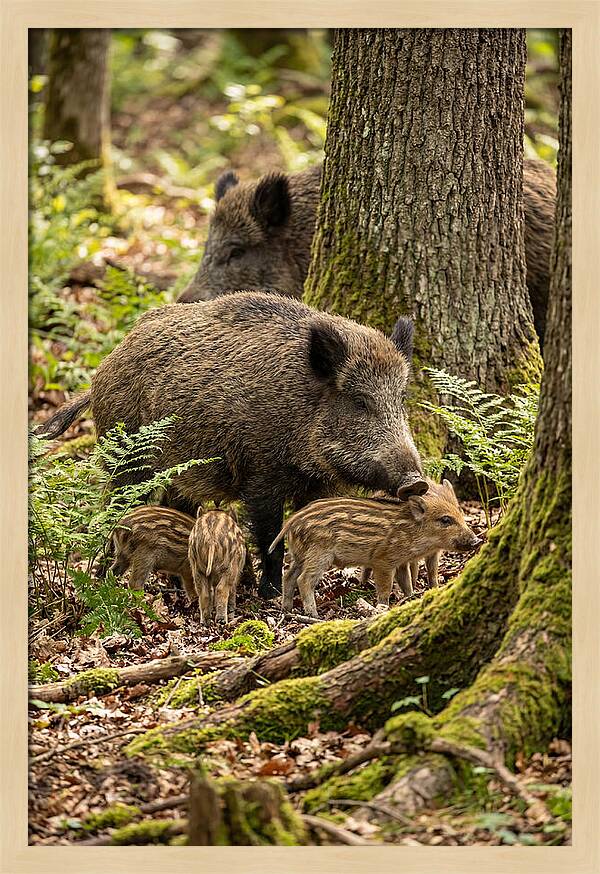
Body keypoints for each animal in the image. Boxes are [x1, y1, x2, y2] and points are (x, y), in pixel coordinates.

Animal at [36, 291, 425, 599]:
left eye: (401, 399)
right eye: (359, 402)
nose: (416, 482)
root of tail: (103, 367)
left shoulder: (317, 485)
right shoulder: (261, 475)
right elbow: (270, 536)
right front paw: (269, 594)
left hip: (178, 469)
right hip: (128, 458)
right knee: (115, 508)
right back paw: (103, 578)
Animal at [271, 482, 481, 618]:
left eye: (460, 513)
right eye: (445, 519)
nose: (476, 540)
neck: (411, 531)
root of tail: (292, 521)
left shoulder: (401, 562)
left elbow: (406, 583)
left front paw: (411, 598)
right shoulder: (383, 561)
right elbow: (385, 587)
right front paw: (383, 607)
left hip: (300, 555)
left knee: (288, 576)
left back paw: (286, 609)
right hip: (319, 554)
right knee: (304, 580)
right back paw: (313, 615)